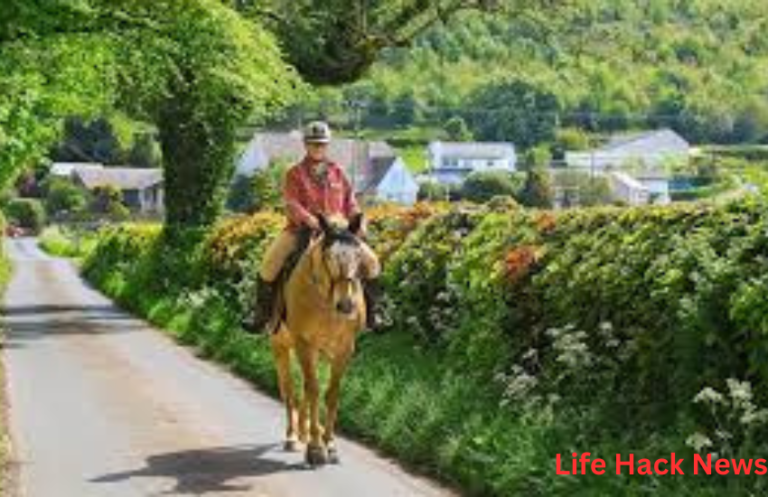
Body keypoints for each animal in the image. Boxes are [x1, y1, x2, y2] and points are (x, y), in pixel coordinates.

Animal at [269, 213, 372, 466]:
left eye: (359, 256)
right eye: (328, 256)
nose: (346, 305)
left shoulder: (344, 349)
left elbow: (331, 393)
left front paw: (330, 445)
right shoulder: (303, 344)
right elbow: (314, 389)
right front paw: (316, 448)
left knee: (304, 390)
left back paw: (303, 432)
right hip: (281, 347)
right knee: (289, 390)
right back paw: (292, 437)